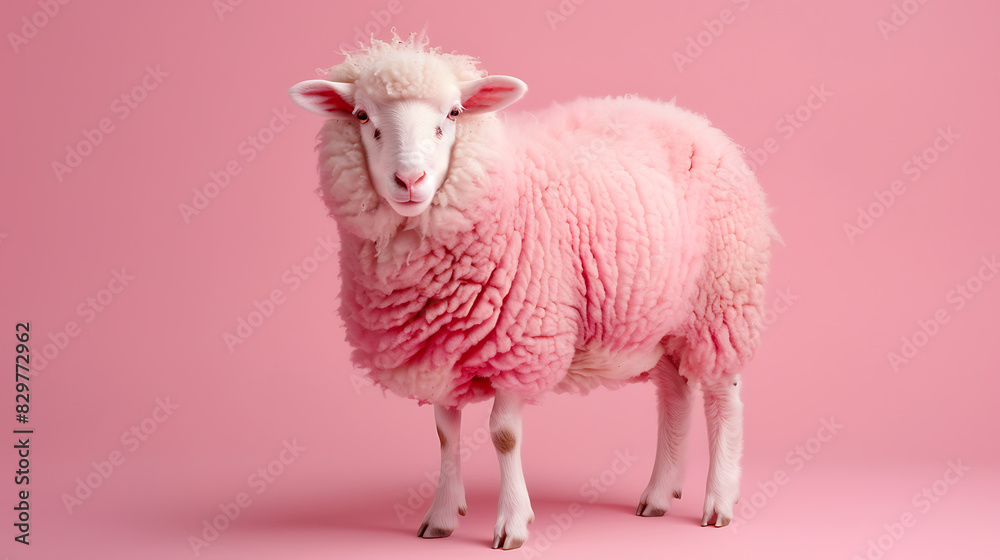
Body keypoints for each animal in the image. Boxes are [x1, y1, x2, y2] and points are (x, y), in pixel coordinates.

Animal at [288, 32, 776, 550]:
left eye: (454, 113)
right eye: (361, 116)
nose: (410, 179)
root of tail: (692, 120)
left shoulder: (520, 342)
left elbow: (503, 435)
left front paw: (512, 524)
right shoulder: (440, 345)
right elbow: (445, 433)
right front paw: (440, 517)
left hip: (723, 304)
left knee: (723, 400)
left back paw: (719, 502)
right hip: (659, 319)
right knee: (675, 398)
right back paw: (659, 495)